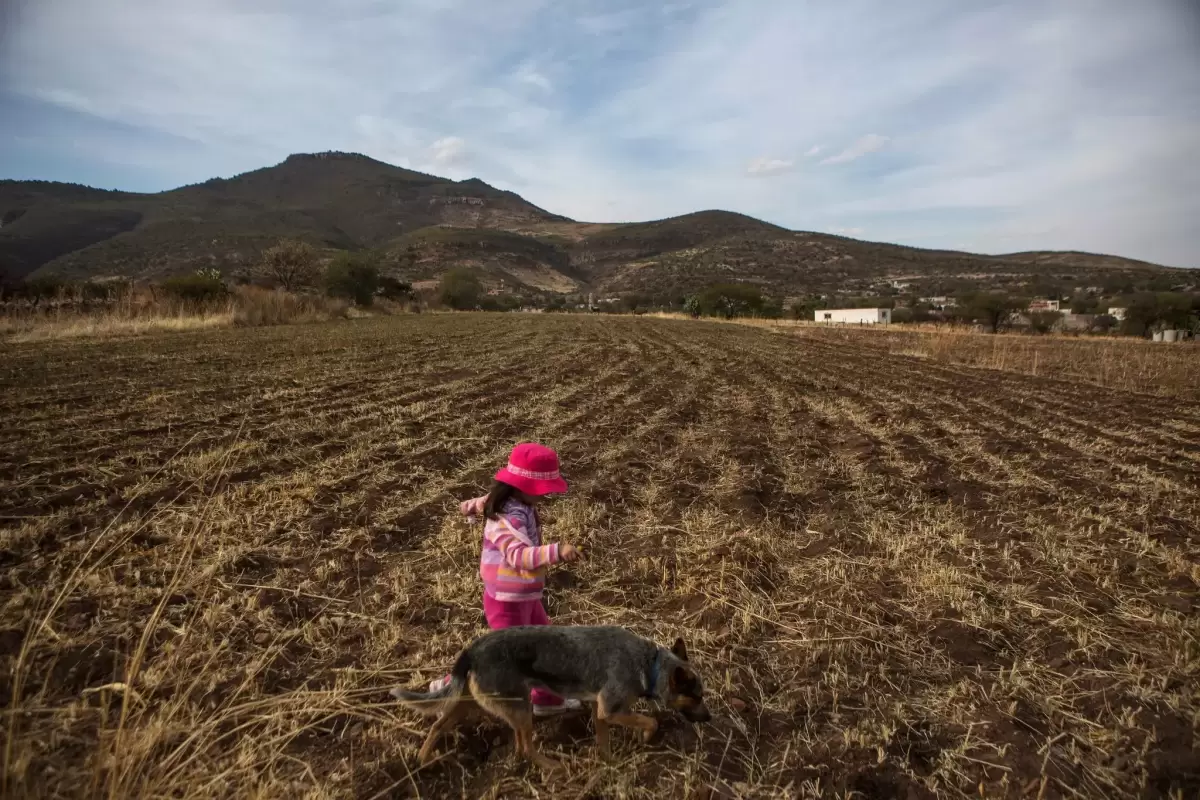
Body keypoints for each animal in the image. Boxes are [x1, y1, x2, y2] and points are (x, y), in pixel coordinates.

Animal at [391, 623, 710, 767]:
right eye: (696, 697)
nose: (709, 718)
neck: (649, 664)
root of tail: (472, 650)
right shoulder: (611, 708)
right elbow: (650, 721)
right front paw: (645, 737)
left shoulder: (600, 709)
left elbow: (603, 739)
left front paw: (607, 761)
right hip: (521, 707)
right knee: (526, 747)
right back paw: (551, 766)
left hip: (473, 703)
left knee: (438, 724)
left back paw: (423, 759)